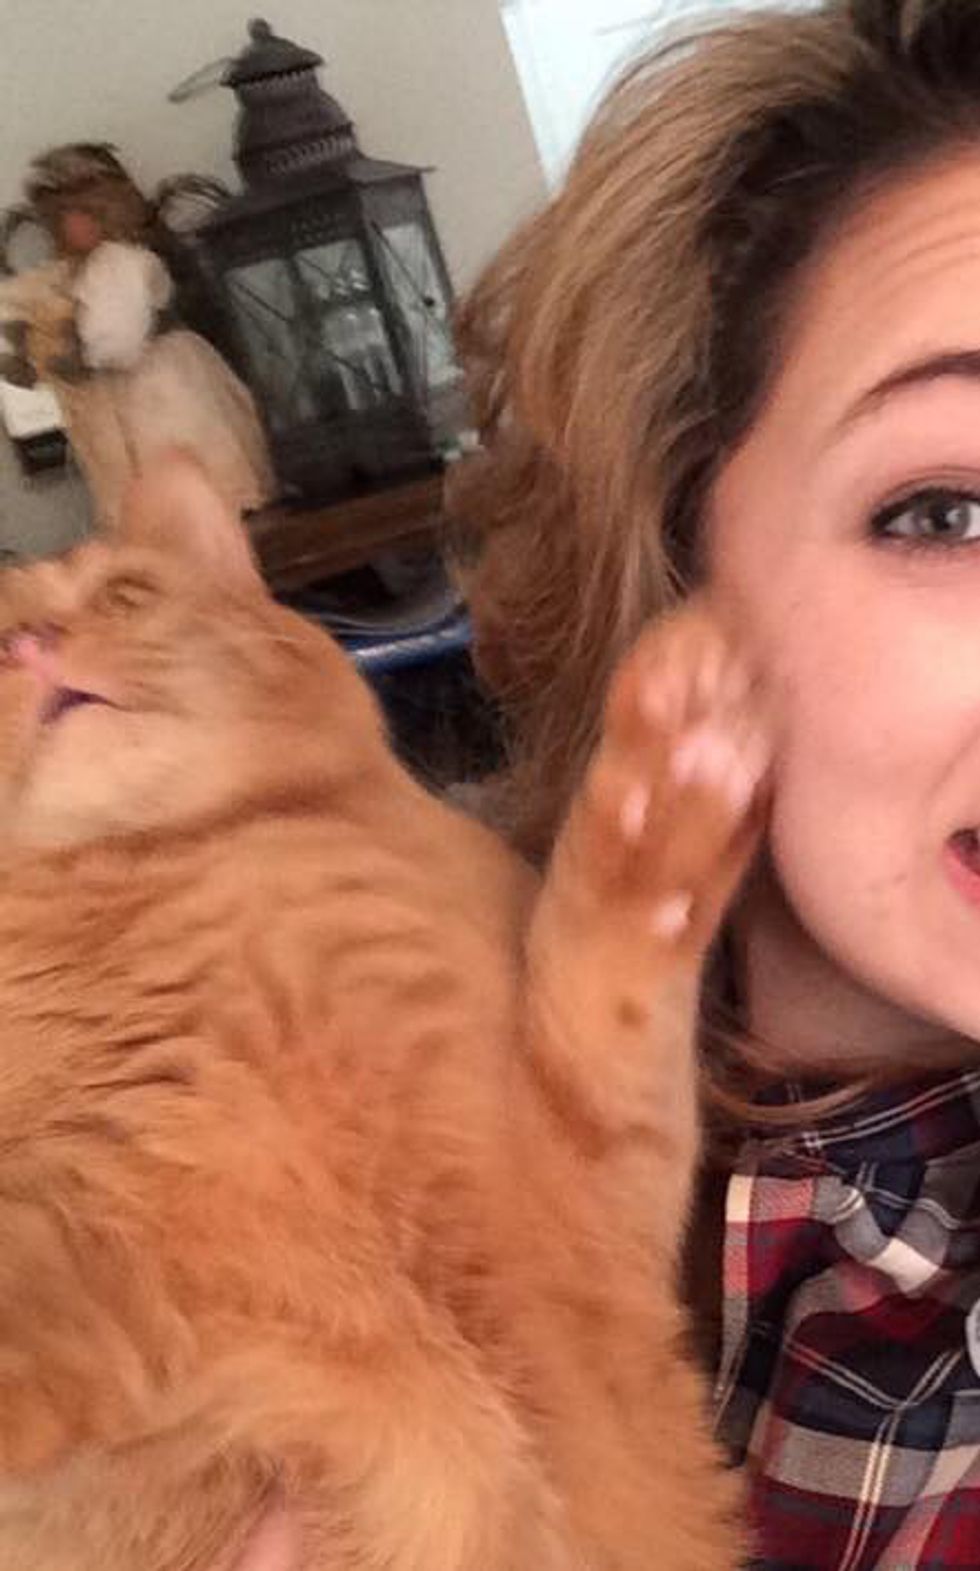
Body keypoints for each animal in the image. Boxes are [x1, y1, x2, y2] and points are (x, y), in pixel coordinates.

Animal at [0, 453, 765, 1571]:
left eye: (124, 596)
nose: (29, 645)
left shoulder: (580, 1205)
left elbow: (600, 966)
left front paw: (673, 777)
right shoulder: (108, 1267)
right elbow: (48, 1303)